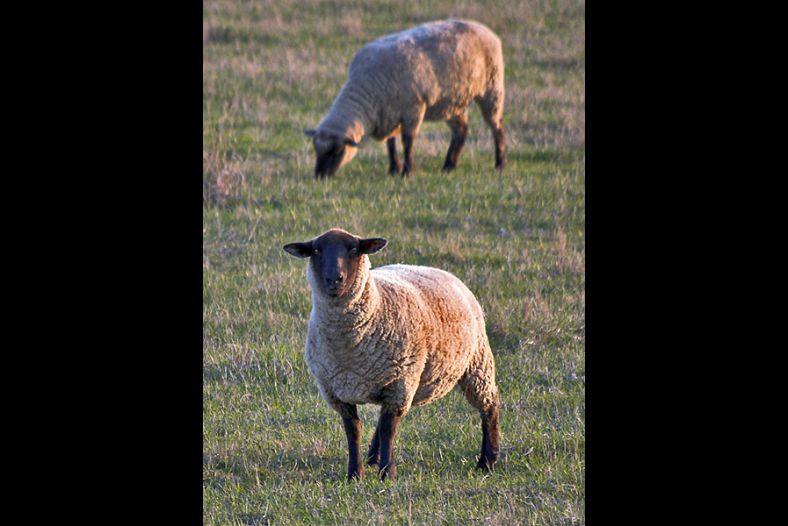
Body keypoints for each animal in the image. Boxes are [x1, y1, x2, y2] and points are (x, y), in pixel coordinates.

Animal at [283, 228, 501, 481]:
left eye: (354, 249)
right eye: (316, 250)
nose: (334, 280)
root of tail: (440, 271)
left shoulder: (400, 382)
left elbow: (389, 429)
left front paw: (388, 474)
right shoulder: (337, 392)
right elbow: (353, 430)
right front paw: (355, 474)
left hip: (476, 362)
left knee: (489, 405)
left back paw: (487, 461)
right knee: (382, 418)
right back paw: (372, 458)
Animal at [304, 19, 506, 178]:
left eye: (338, 150)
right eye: (315, 148)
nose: (320, 176)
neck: (366, 89)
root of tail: (483, 28)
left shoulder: (413, 108)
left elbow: (408, 141)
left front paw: (407, 172)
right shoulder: (388, 114)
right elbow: (391, 144)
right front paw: (394, 169)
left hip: (492, 89)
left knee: (496, 127)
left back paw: (500, 164)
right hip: (452, 102)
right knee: (461, 131)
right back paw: (449, 166)